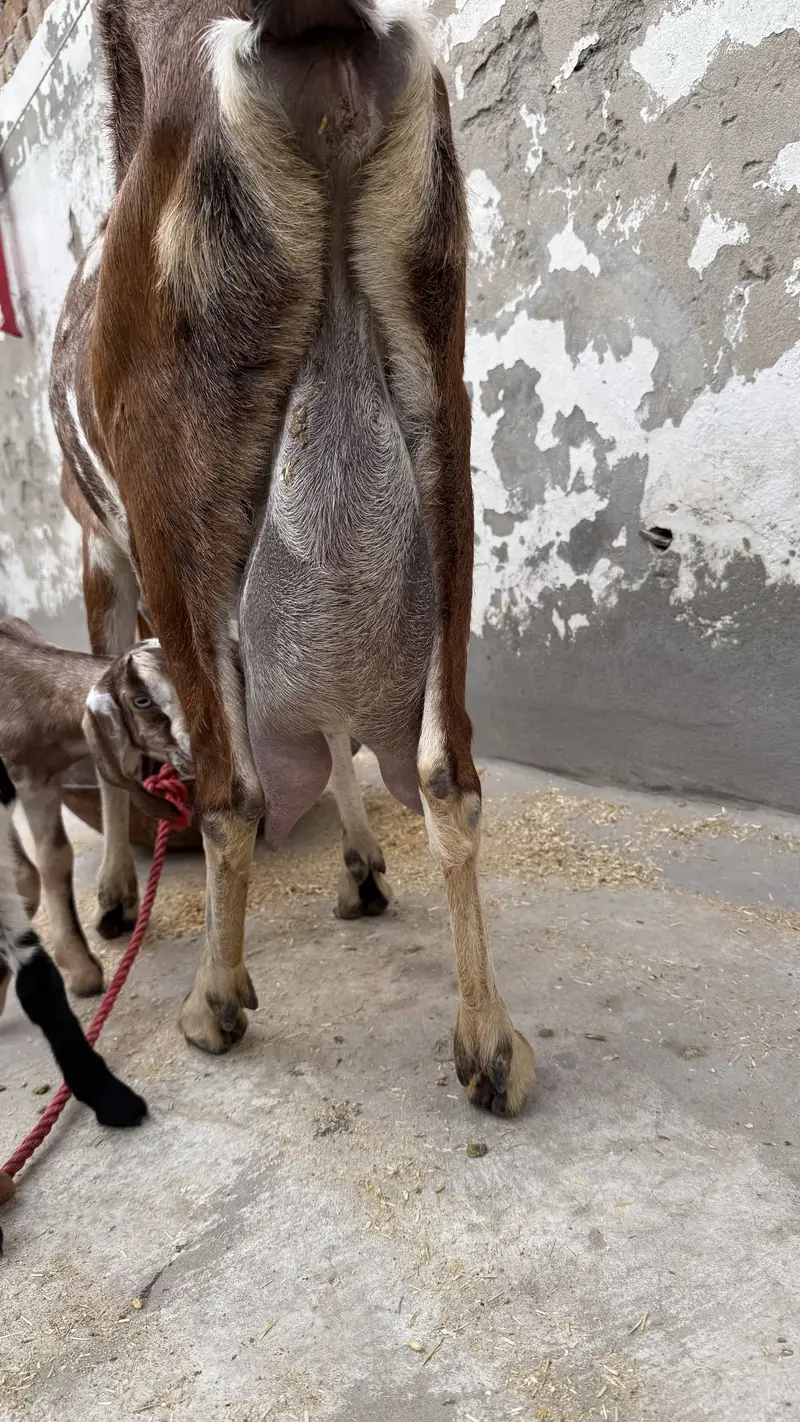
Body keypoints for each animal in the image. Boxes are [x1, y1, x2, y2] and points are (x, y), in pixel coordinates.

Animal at [49, 0, 534, 1114]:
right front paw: (360, 870)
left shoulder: (103, 544)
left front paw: (115, 898)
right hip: (444, 451)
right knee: (447, 772)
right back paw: (488, 1044)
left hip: (174, 512)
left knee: (233, 793)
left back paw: (213, 1003)